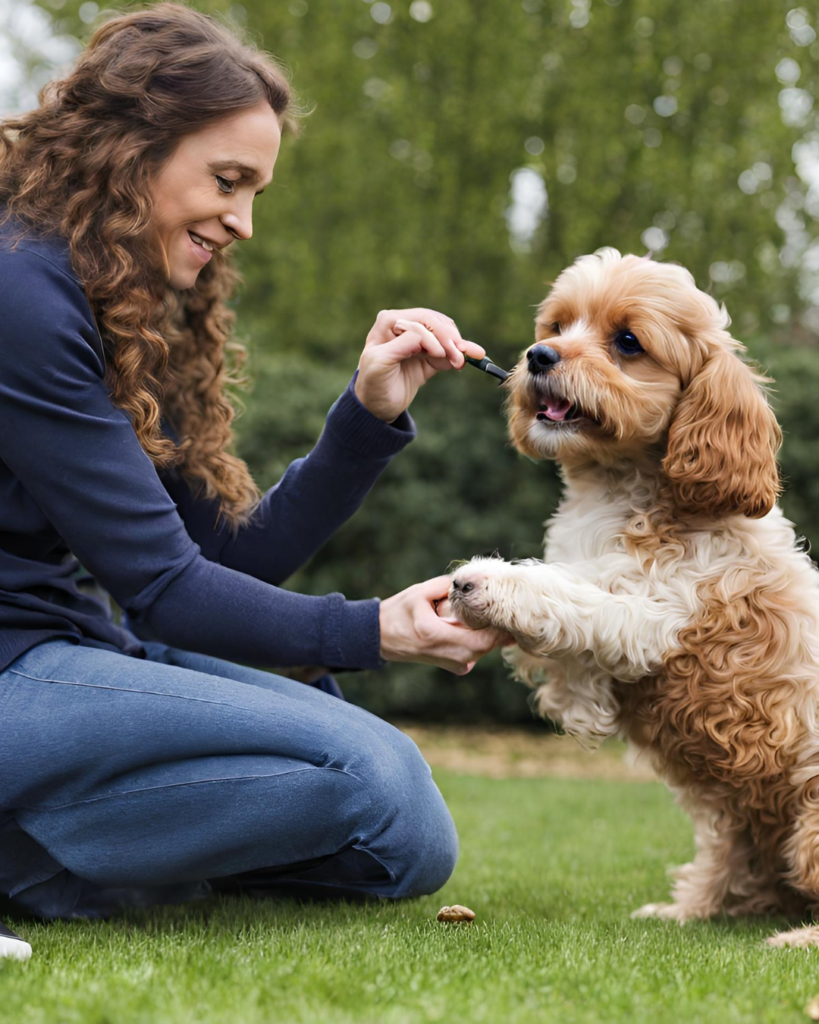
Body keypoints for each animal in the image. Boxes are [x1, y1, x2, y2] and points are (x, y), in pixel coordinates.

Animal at [450, 247, 818, 950]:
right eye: (558, 325)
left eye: (627, 343)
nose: (539, 354)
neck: (616, 488)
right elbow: (563, 644)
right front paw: (579, 703)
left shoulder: (656, 614)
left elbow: (569, 598)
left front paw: (489, 584)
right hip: (732, 813)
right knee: (736, 868)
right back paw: (692, 908)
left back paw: (795, 938)